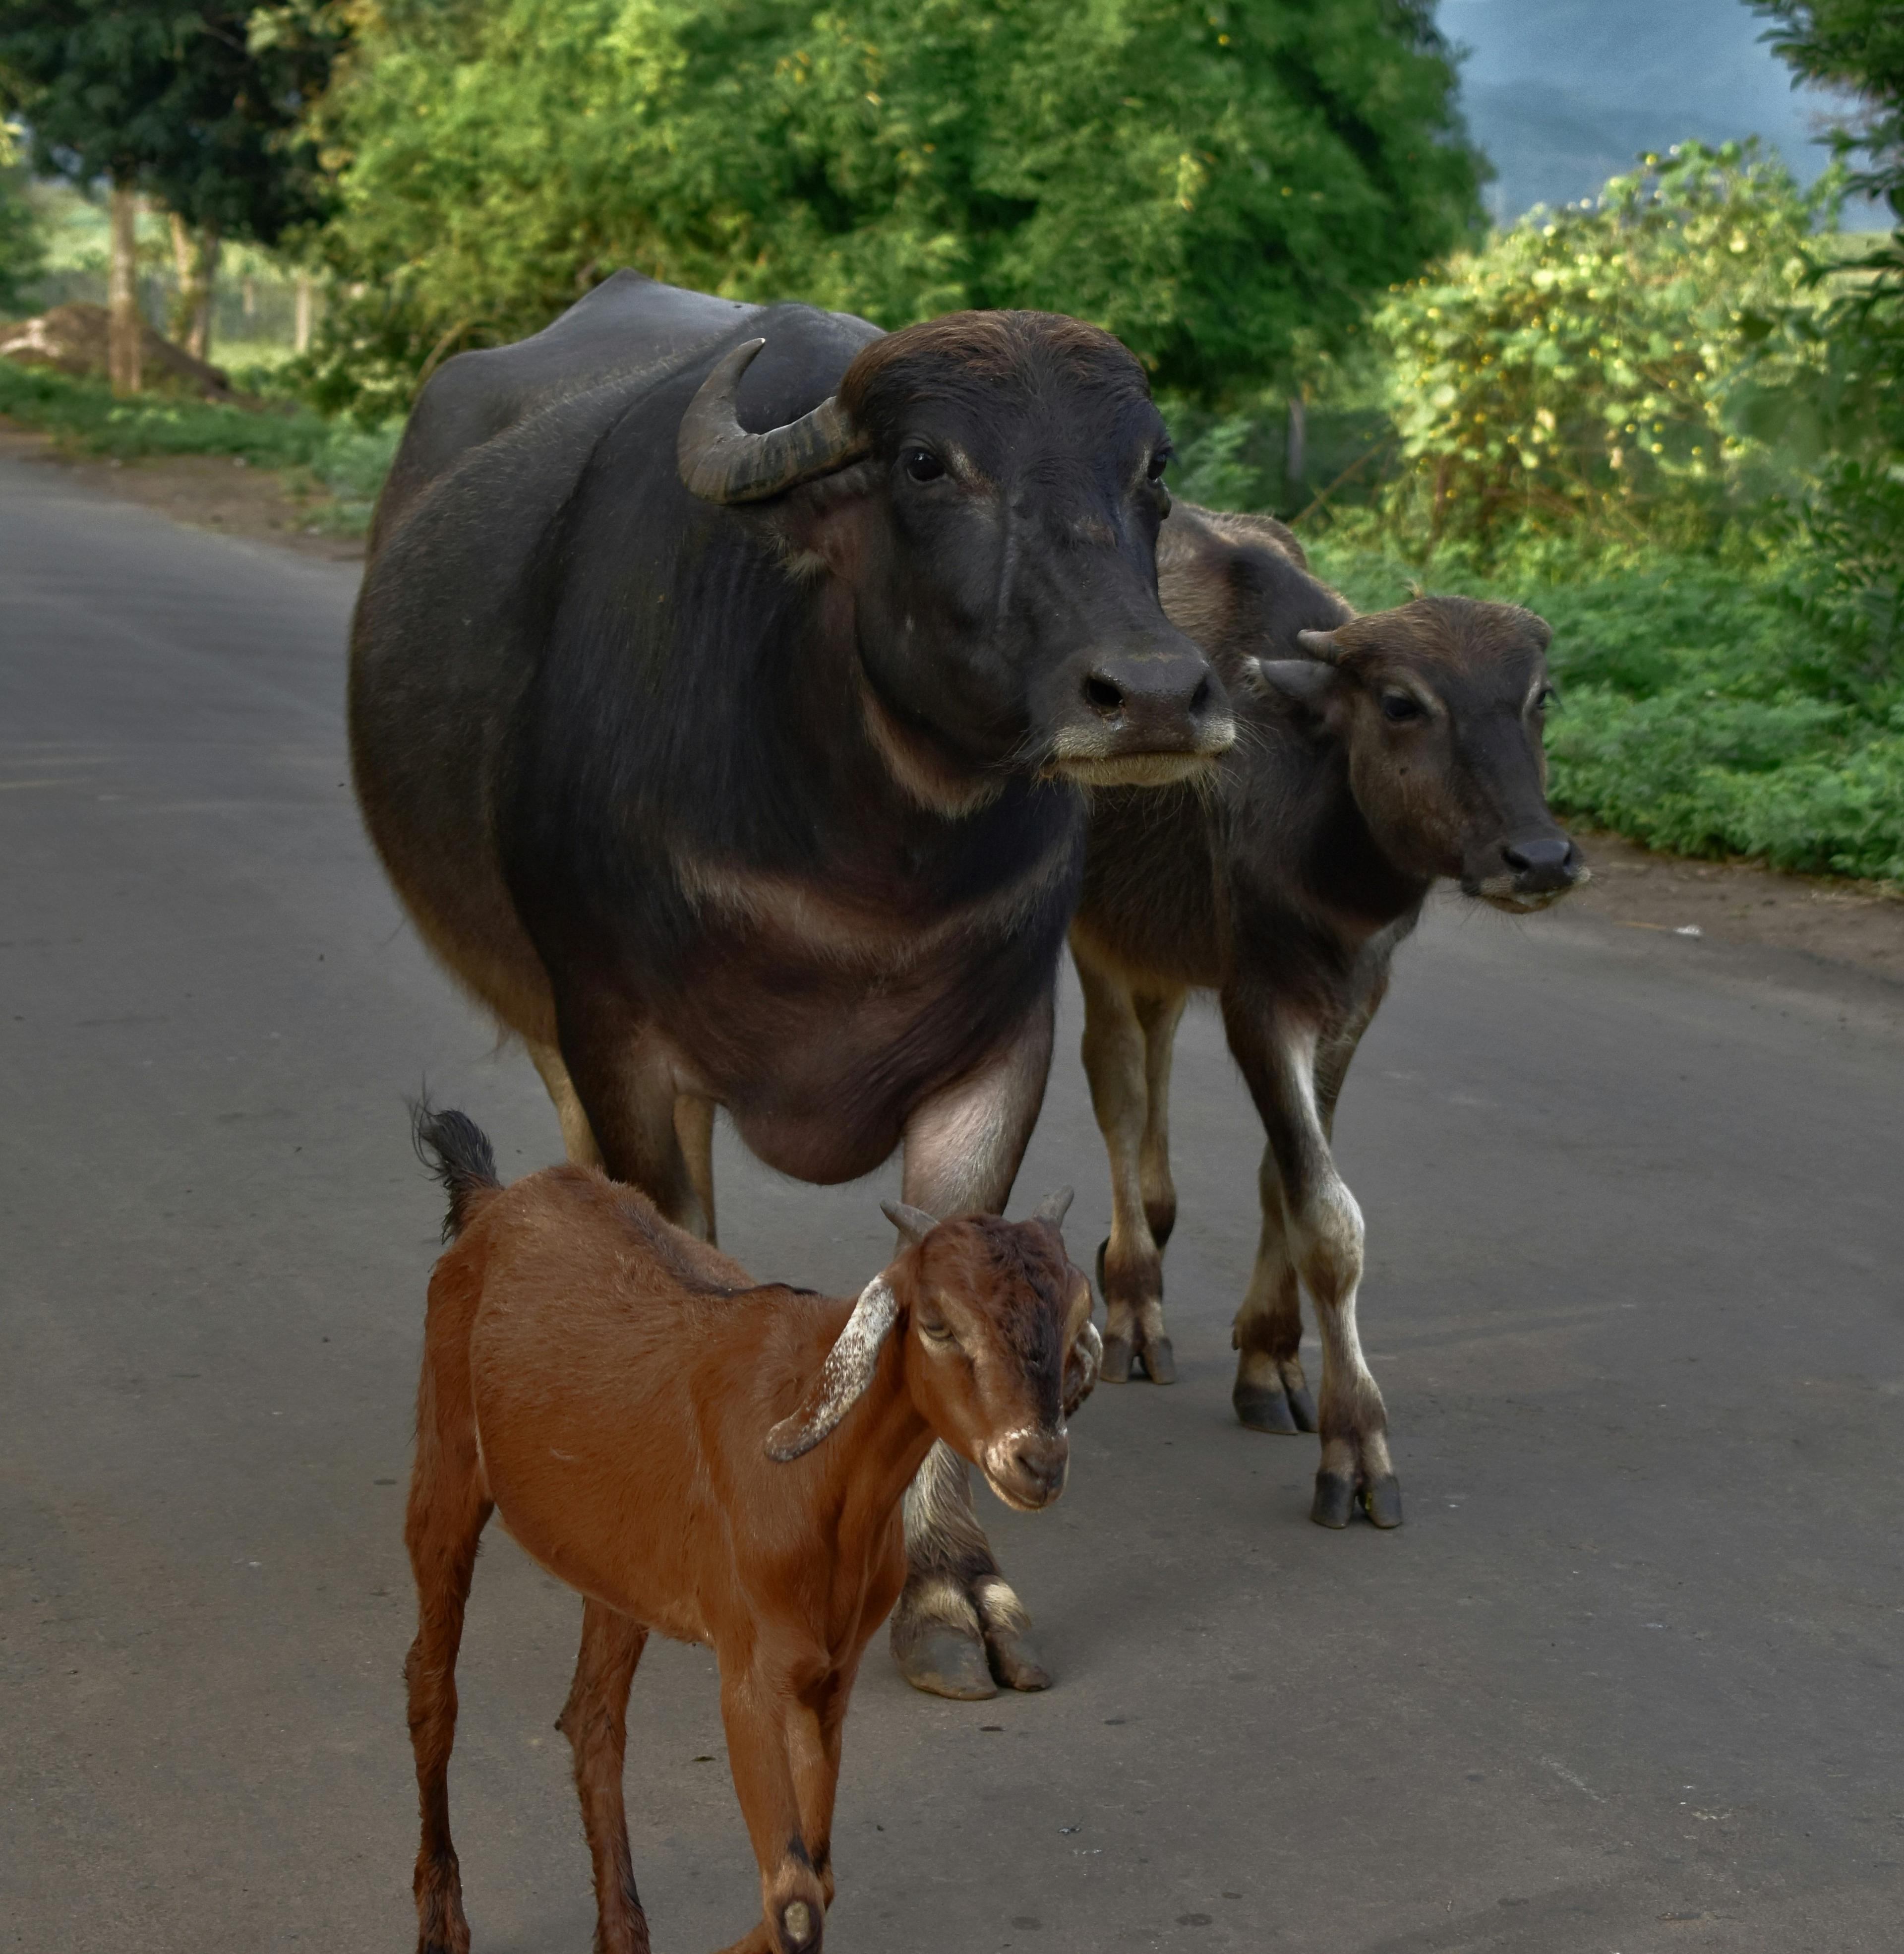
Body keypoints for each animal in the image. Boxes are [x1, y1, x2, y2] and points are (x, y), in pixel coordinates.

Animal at [349, 272, 1233, 1703]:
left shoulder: (1000, 1047)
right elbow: (680, 1247)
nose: (1152, 691)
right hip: (544, 1011)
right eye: (927, 463)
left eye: (1148, 469)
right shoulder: (620, 1035)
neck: (865, 850)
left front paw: (949, 1584)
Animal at [403, 1105, 1099, 1954]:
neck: (825, 1482)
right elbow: (796, 1899)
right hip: (445, 1468)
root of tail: (496, 1201)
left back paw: (622, 1932)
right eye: (937, 1324)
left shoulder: (829, 1673)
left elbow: (814, 1883)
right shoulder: (751, 1673)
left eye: (1075, 1316)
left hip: (615, 1561)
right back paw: (442, 1919)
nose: (1037, 1461)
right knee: (431, 1688)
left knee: (593, 1719)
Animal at [1069, 503, 1584, 1529]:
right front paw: (1357, 1445)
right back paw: (1136, 1301)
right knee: (1117, 1082)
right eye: (1401, 703)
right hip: (1091, 927)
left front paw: (1271, 1357)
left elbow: (1284, 1177)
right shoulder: (1261, 1000)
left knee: (1154, 1045)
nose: (1541, 859)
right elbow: (1327, 1218)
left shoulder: (1354, 999)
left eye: (1537, 699)